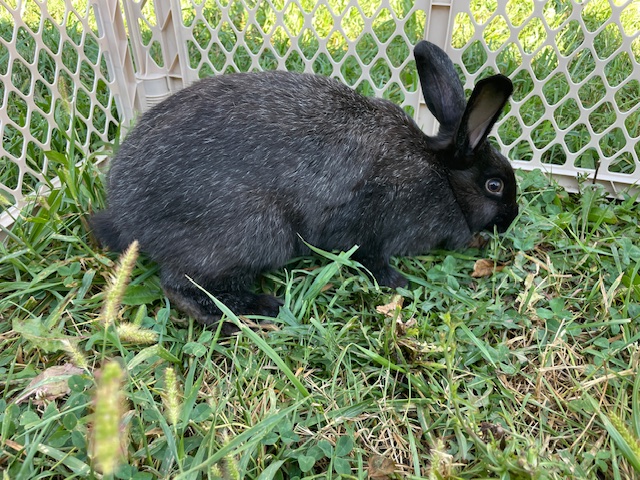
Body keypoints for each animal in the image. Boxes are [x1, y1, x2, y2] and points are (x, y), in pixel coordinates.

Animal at [91, 40, 518, 332]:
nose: (511, 218)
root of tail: (126, 218)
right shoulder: (369, 223)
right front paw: (398, 283)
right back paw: (257, 310)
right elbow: (369, 256)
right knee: (181, 287)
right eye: (494, 185)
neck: (440, 174)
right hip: (260, 233)